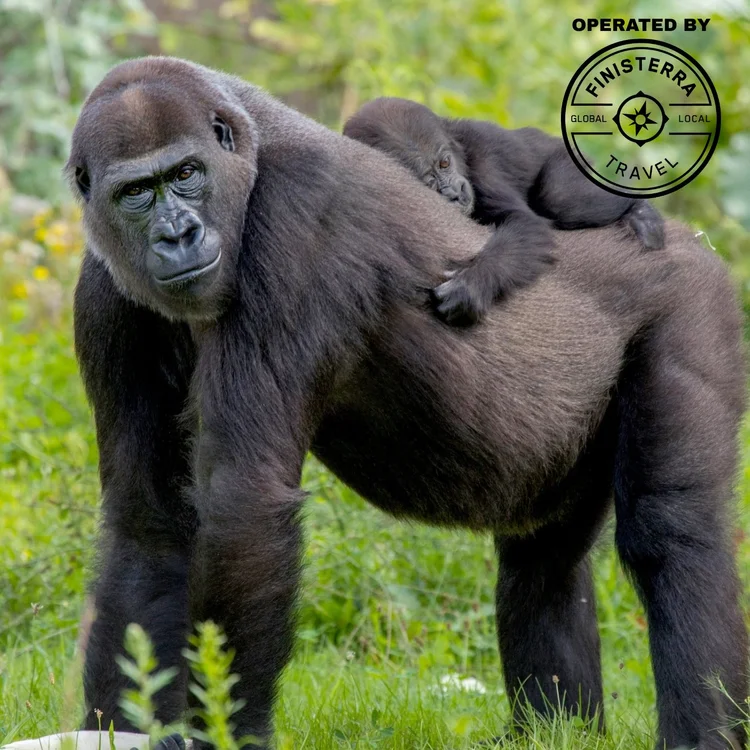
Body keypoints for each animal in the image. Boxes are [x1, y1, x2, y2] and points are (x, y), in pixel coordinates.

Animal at [344, 97, 665, 325]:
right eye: (429, 182)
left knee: (560, 196)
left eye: (444, 163)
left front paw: (472, 285)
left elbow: (524, 224)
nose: (455, 193)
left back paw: (639, 210)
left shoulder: (483, 164)